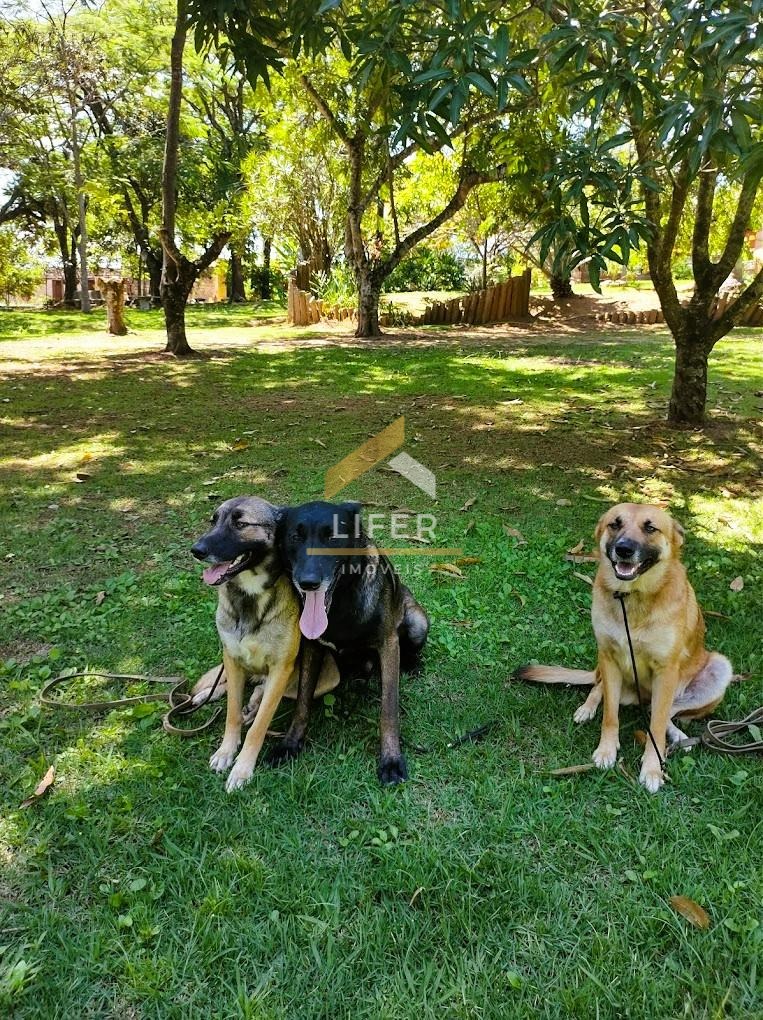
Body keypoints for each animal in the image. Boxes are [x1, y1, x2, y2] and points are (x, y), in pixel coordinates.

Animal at [190, 496, 304, 792]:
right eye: (213, 520)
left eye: (241, 524)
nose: (196, 550)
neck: (249, 597)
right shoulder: (232, 658)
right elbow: (231, 713)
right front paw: (226, 751)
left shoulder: (280, 670)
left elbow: (258, 726)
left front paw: (242, 768)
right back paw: (205, 695)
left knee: (258, 696)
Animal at [273, 500, 429, 785]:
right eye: (295, 537)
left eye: (332, 537)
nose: (308, 582)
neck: (340, 602)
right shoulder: (311, 646)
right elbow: (302, 700)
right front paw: (290, 743)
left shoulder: (388, 644)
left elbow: (389, 710)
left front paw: (391, 759)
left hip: (416, 622)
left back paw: (412, 665)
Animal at [515, 503, 732, 793]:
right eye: (614, 524)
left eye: (650, 527)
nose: (624, 549)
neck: (633, 597)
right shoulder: (609, 658)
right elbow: (610, 715)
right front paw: (606, 750)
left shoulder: (666, 671)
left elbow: (657, 724)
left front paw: (652, 768)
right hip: (607, 669)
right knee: (599, 688)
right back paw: (587, 708)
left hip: (717, 668)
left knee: (663, 713)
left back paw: (677, 734)